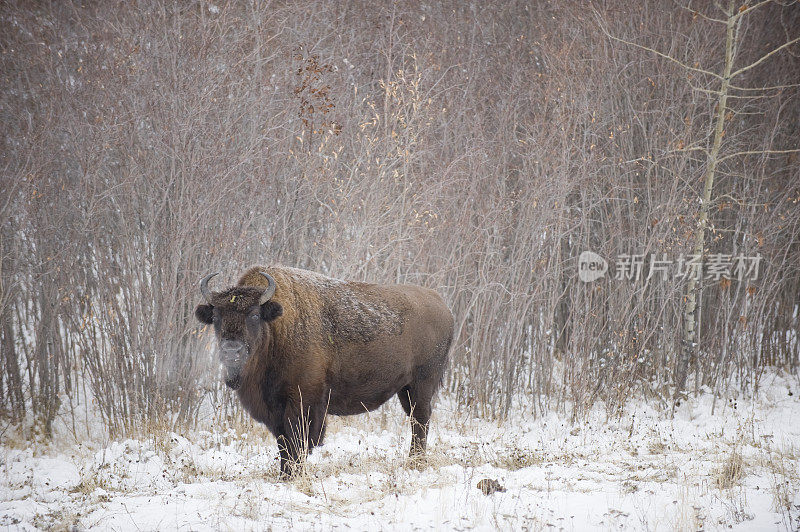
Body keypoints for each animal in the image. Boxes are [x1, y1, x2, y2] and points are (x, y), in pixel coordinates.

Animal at [195, 266, 454, 478]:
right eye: (216, 317)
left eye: (255, 315)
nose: (231, 350)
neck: (277, 328)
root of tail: (442, 305)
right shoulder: (275, 408)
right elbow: (283, 442)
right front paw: (284, 474)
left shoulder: (303, 402)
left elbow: (297, 441)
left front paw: (293, 475)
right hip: (405, 389)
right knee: (416, 420)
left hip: (422, 384)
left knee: (420, 420)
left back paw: (415, 463)